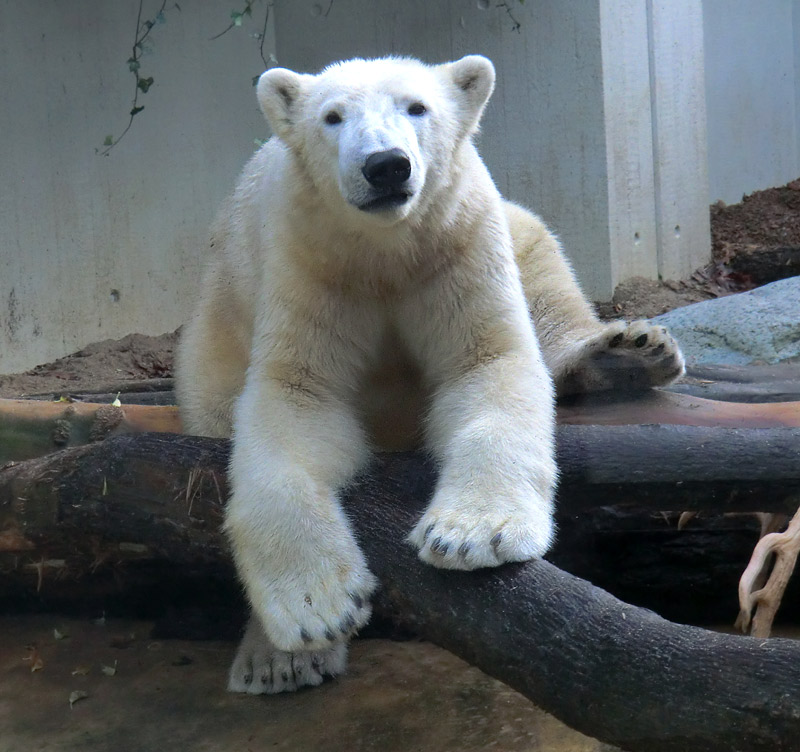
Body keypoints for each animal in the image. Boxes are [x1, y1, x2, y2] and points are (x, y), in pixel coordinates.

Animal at [175, 55, 680, 696]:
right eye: (332, 117)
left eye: (417, 107)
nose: (386, 165)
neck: (386, 247)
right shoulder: (311, 261)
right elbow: (297, 400)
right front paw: (318, 608)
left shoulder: (456, 241)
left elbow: (487, 364)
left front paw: (471, 536)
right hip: (215, 327)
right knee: (215, 403)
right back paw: (274, 662)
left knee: (541, 258)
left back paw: (626, 353)